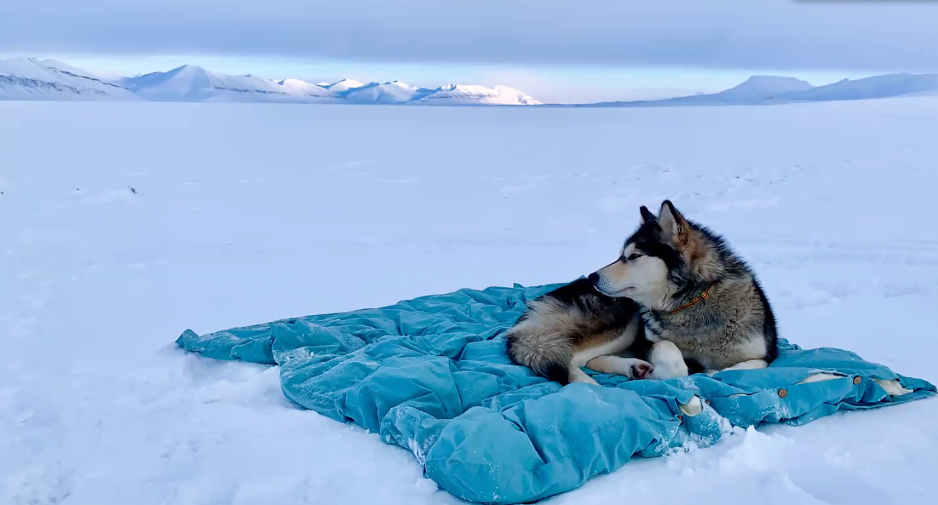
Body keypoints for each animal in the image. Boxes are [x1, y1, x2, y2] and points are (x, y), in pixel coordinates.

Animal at [508, 199, 780, 384]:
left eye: (634, 256)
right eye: (621, 255)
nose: (592, 276)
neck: (690, 304)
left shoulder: (765, 355)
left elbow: (744, 367)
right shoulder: (649, 341)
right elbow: (670, 354)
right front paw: (664, 372)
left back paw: (634, 368)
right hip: (625, 320)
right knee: (572, 358)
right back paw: (590, 384)